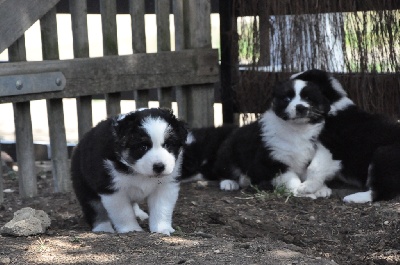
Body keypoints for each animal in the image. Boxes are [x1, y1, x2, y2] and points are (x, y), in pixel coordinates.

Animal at [212, 77, 340, 197]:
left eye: (308, 98)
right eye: (287, 99)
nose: (301, 107)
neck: (297, 130)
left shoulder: (317, 151)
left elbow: (315, 168)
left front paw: (318, 188)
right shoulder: (272, 159)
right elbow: (290, 178)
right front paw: (299, 191)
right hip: (227, 151)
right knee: (224, 170)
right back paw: (230, 183)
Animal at [292, 68, 400, 202]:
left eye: (305, 95)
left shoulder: (330, 148)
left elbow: (314, 167)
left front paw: (306, 187)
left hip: (384, 155)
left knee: (383, 191)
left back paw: (354, 197)